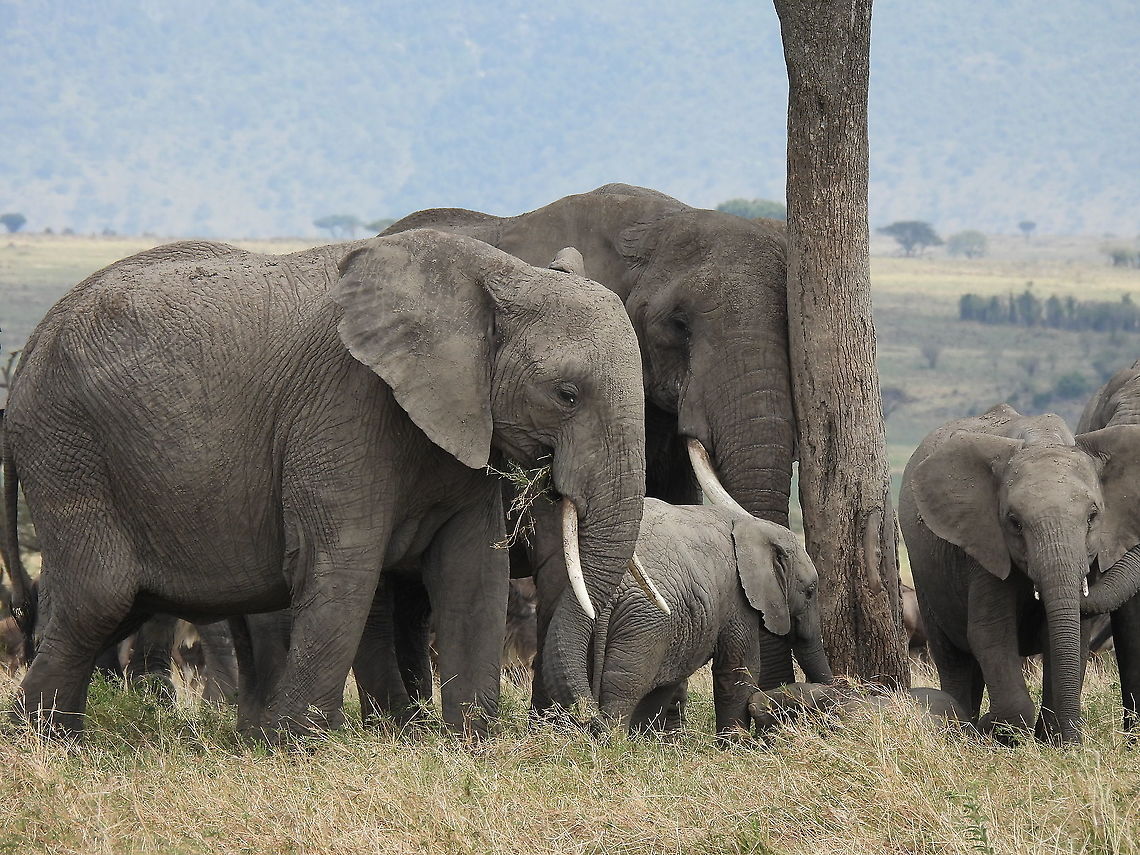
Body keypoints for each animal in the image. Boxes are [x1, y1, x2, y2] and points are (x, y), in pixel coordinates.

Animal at [0, 227, 647, 739]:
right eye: (566, 394)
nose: (592, 723)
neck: (494, 276)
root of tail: (30, 343)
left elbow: (472, 572)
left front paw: (473, 744)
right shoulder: (342, 407)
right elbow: (344, 563)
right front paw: (298, 747)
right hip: (68, 447)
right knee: (99, 597)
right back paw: (49, 747)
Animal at [535, 498, 832, 736]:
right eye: (810, 591)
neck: (754, 526)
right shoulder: (736, 598)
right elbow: (737, 669)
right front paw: (735, 748)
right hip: (645, 623)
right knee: (624, 685)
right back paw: (613, 744)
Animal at [899, 404, 1140, 744]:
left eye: (1093, 517)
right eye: (1014, 522)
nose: (1076, 742)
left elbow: (1070, 635)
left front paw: (1053, 742)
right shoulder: (984, 548)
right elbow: (990, 633)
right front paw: (1000, 731)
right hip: (926, 579)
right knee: (952, 656)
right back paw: (962, 729)